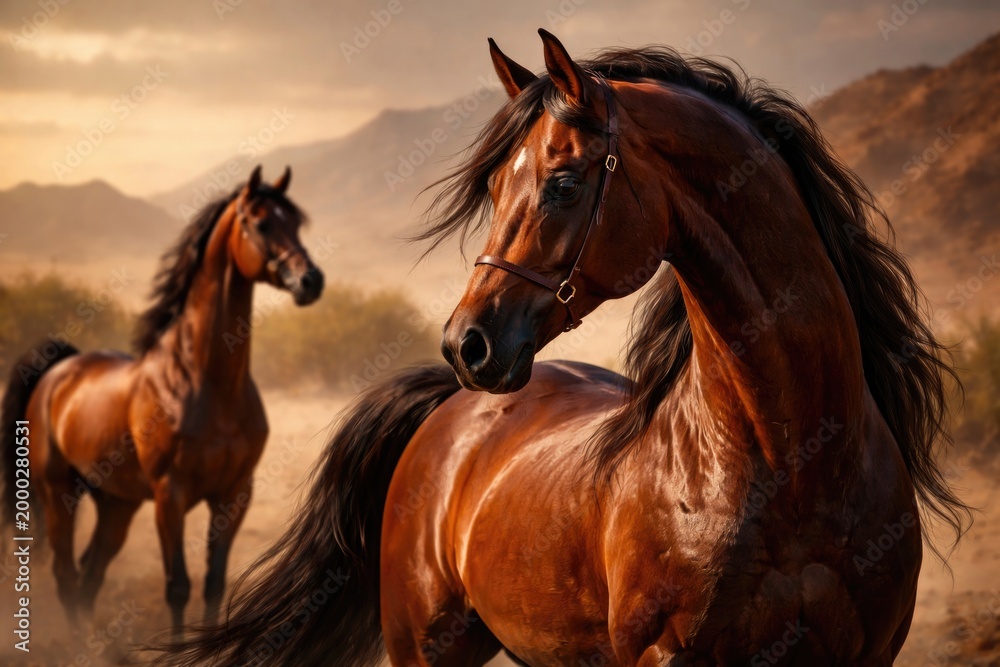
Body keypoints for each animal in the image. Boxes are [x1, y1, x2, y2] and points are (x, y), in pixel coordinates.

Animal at [0, 165, 324, 636]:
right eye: (262, 223)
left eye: (297, 223)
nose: (311, 281)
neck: (208, 383)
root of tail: (60, 371)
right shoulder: (171, 496)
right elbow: (178, 587)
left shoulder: (234, 495)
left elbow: (213, 584)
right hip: (57, 493)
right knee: (66, 575)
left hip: (117, 504)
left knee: (90, 574)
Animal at [162, 32, 968, 666]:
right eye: (493, 187)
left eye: (563, 183)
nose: (467, 344)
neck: (797, 461)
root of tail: (447, 409)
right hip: (428, 645)